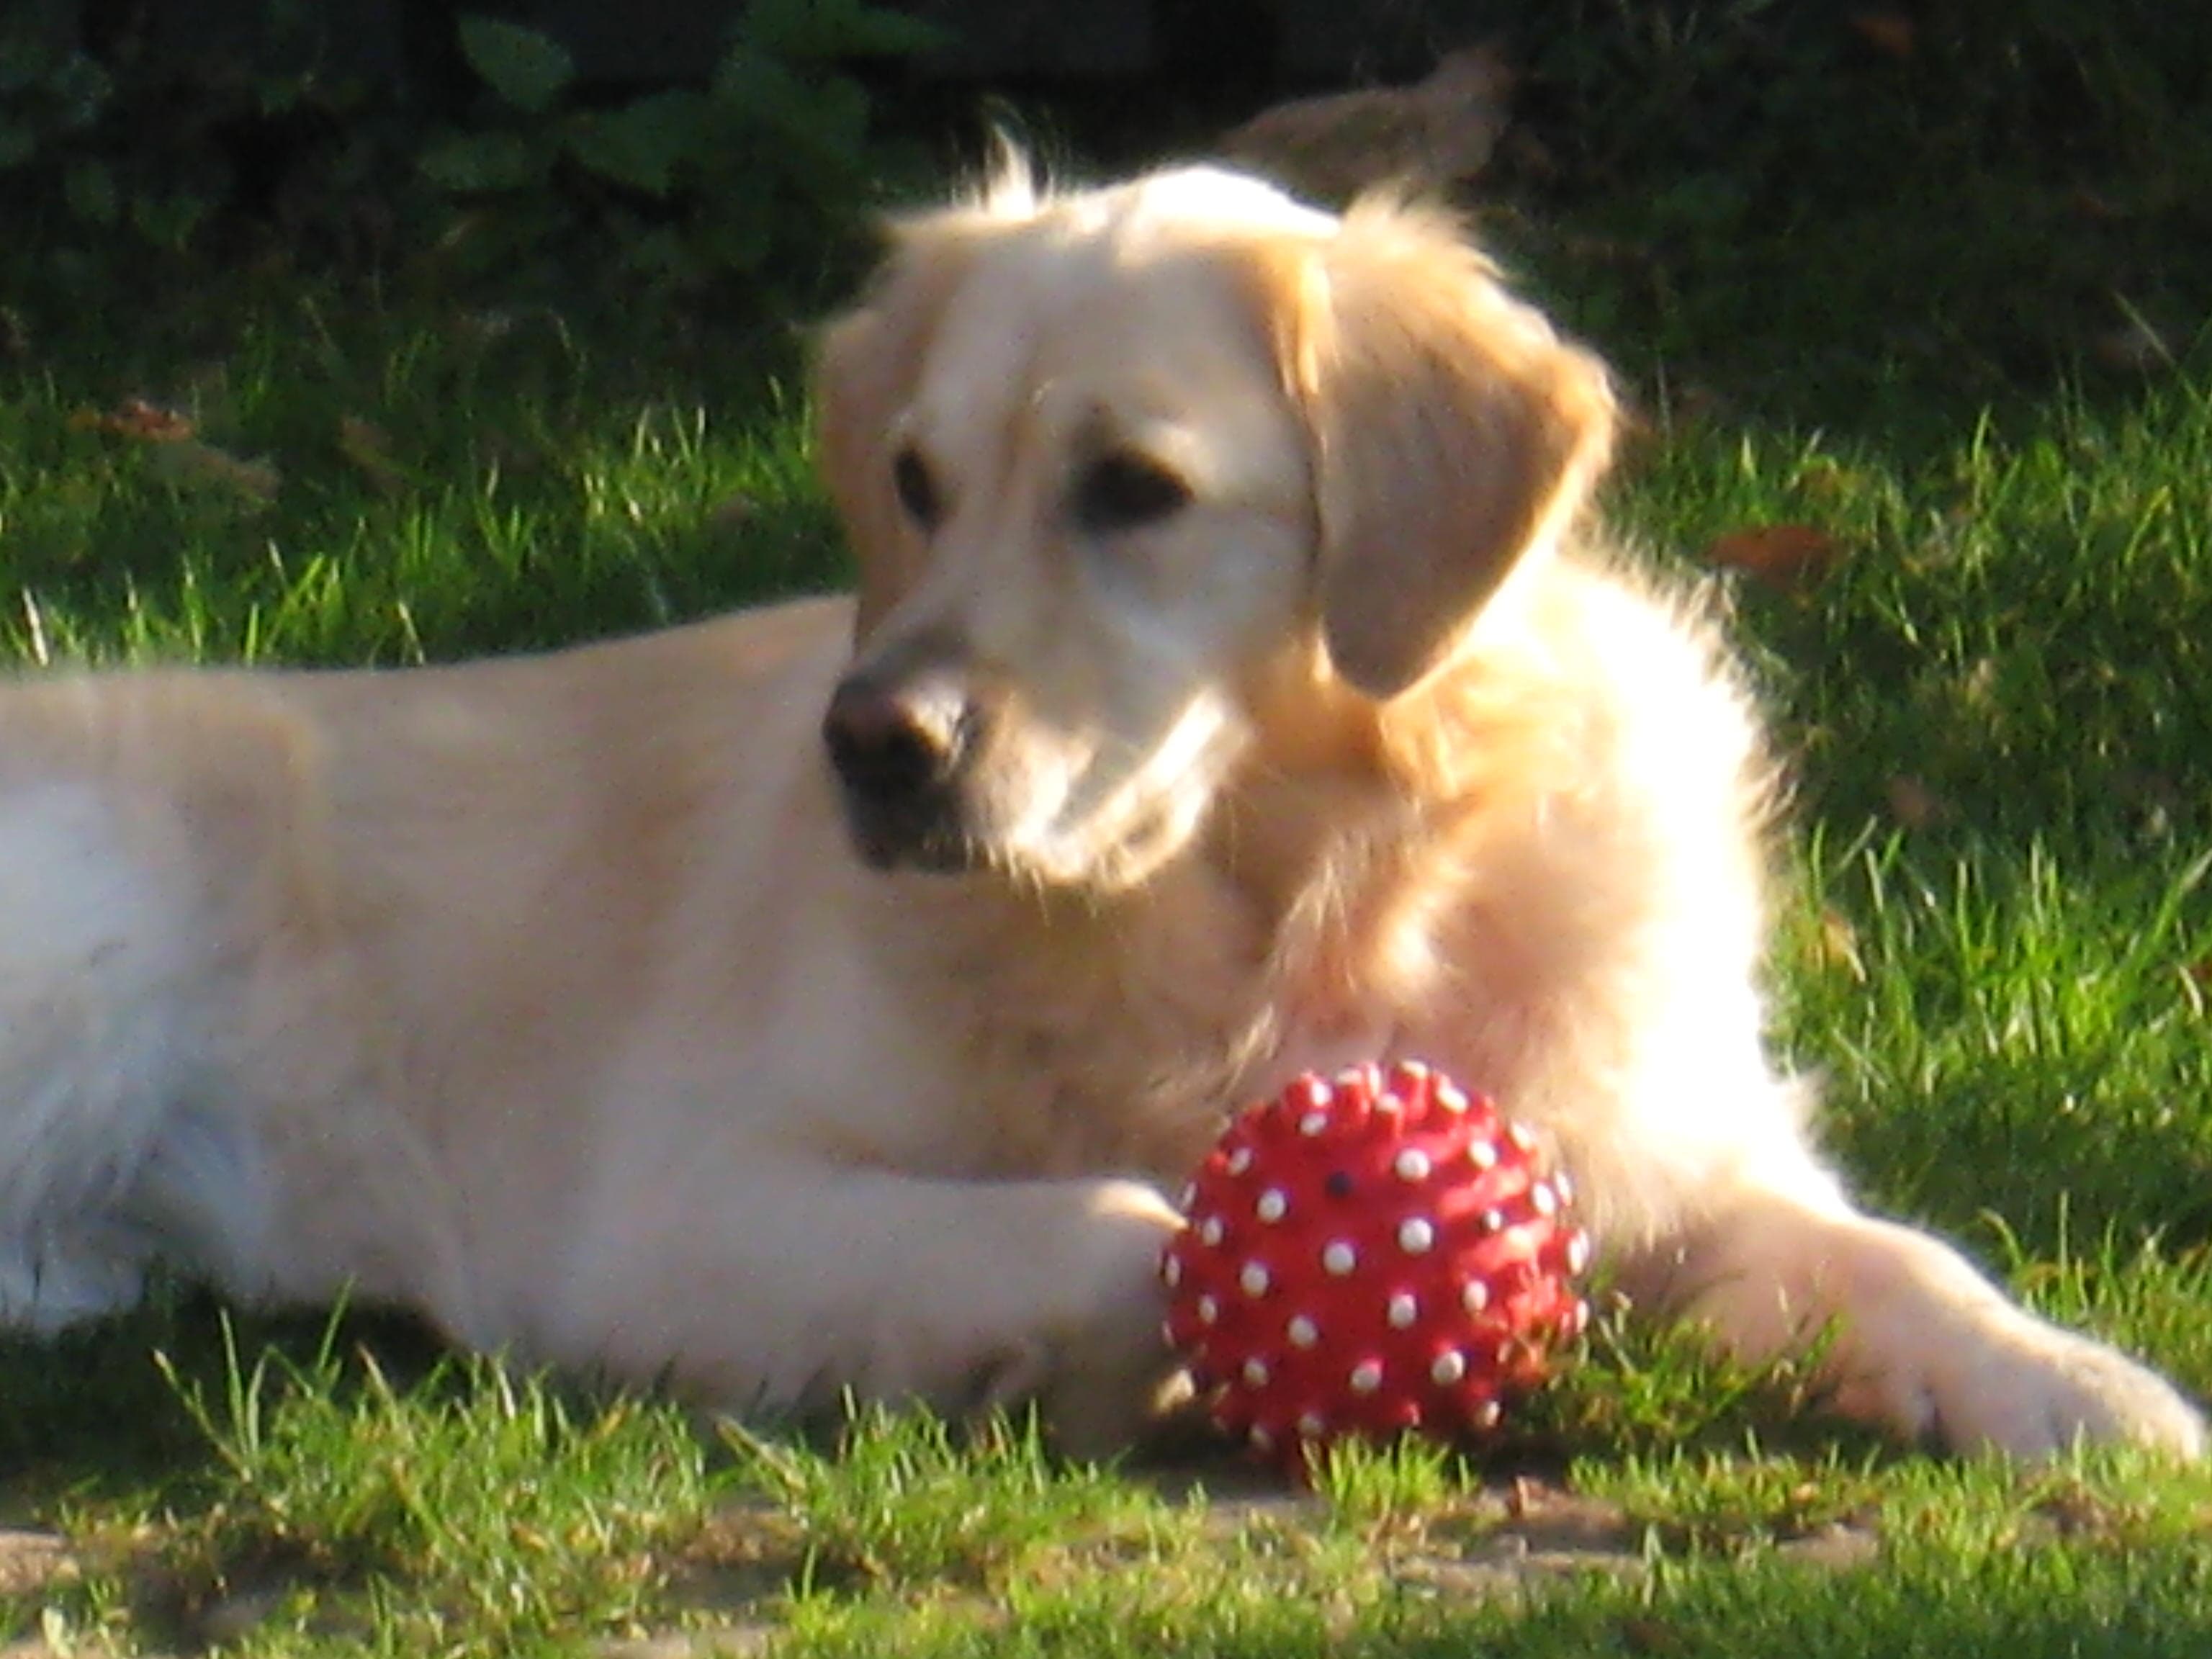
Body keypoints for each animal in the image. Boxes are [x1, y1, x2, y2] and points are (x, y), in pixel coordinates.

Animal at [9, 162, 2203, 1468]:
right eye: (912, 481)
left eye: (1131, 490)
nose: (874, 746)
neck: (1284, 915)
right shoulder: (660, 1208)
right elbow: (1129, 1230)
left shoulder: (1660, 1149)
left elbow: (1903, 1263)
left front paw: (2084, 1392)